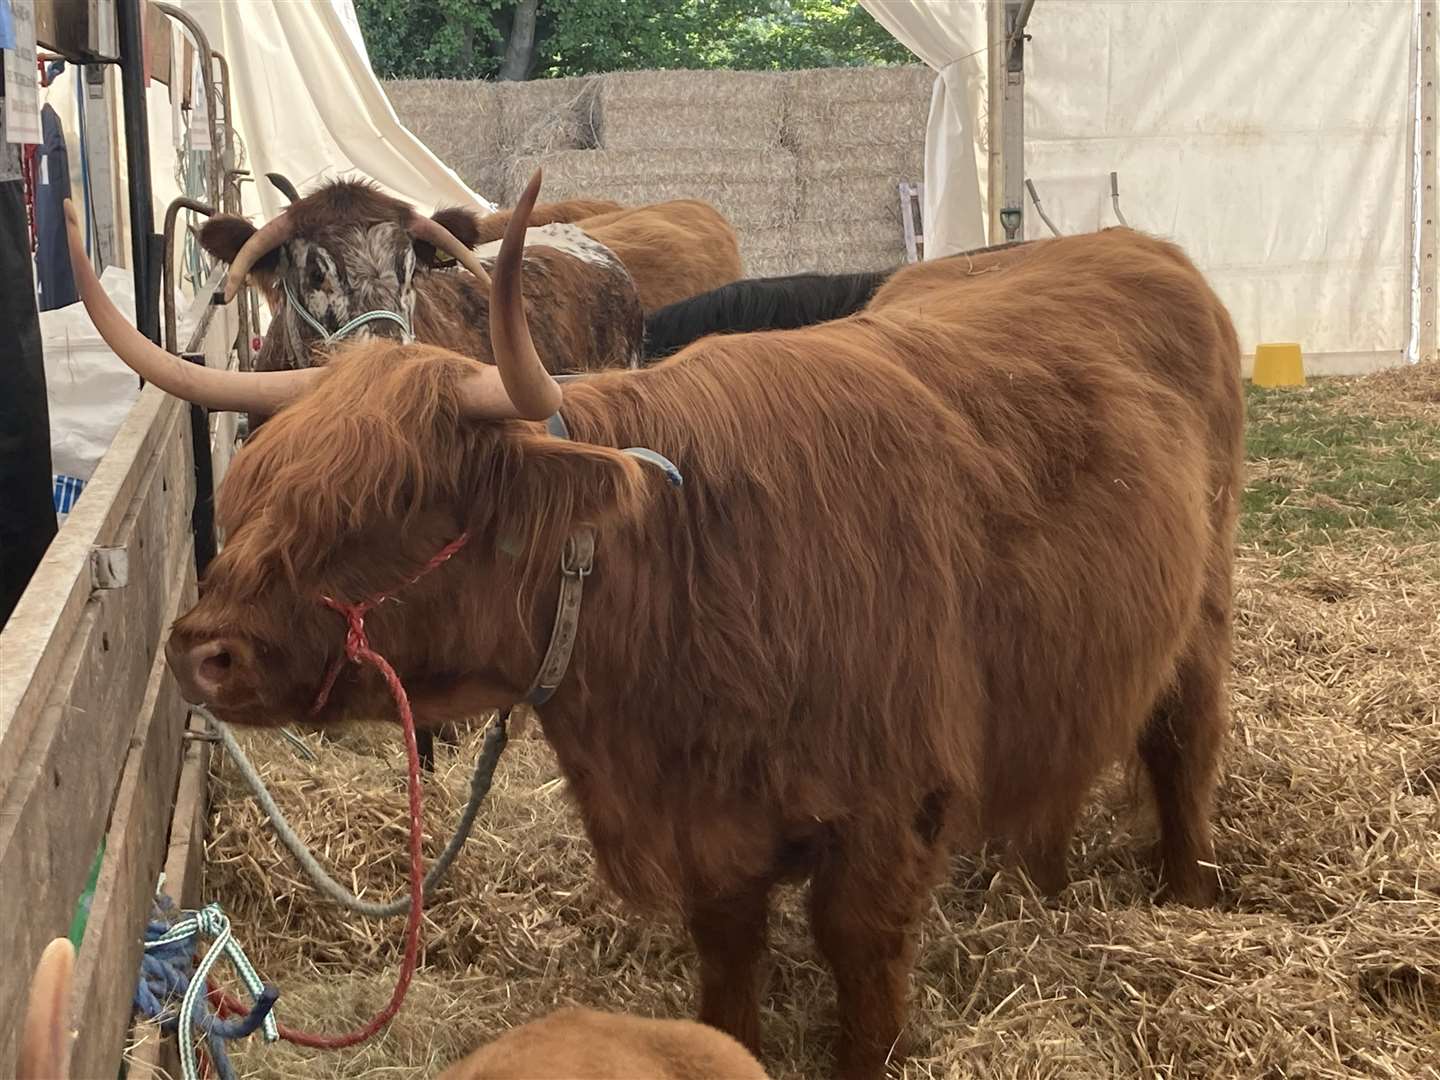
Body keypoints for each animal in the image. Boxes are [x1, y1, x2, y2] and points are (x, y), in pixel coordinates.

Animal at [64, 171, 1238, 1080]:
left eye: (395, 506)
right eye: (259, 487)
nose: (201, 649)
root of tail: (1119, 244)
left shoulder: (883, 822)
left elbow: (864, 984)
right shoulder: (712, 839)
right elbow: (726, 976)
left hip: (1204, 606)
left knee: (1183, 738)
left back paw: (1187, 894)